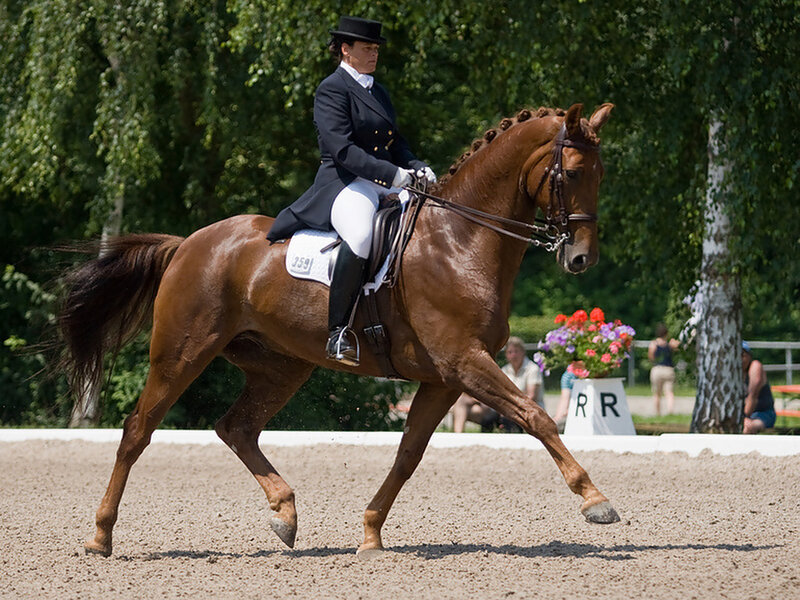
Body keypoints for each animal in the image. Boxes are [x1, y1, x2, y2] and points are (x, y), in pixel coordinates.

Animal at [59, 102, 617, 559]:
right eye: (572, 172)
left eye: (602, 174)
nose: (581, 258)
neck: (461, 241)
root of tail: (188, 244)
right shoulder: (465, 361)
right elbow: (535, 417)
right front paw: (595, 500)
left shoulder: (445, 377)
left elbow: (409, 453)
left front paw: (370, 534)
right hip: (182, 353)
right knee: (138, 431)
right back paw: (100, 536)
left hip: (283, 366)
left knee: (236, 428)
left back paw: (284, 515)